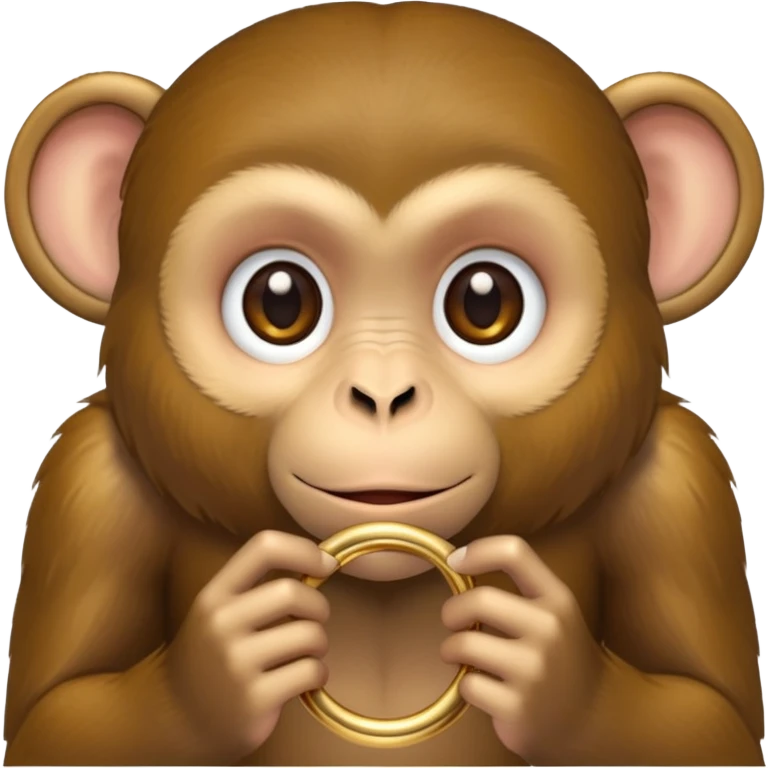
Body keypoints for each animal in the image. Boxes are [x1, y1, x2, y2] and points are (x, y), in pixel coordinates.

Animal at [2, 2, 765, 766]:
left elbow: (713, 716)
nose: (383, 396)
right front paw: (222, 667)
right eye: (280, 301)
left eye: (484, 302)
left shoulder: (678, 481)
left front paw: (549, 671)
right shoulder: (89, 481)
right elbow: (54, 717)